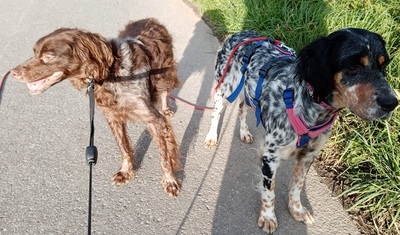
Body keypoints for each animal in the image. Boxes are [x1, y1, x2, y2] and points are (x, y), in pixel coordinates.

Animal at [205, 28, 398, 232]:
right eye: (353, 67)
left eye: (383, 66)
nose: (391, 103)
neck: (310, 105)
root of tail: (240, 33)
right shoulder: (271, 156)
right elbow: (269, 191)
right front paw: (268, 216)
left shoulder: (308, 155)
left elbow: (297, 186)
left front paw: (296, 210)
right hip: (225, 89)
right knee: (216, 112)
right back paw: (211, 137)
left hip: (248, 94)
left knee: (242, 109)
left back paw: (244, 132)